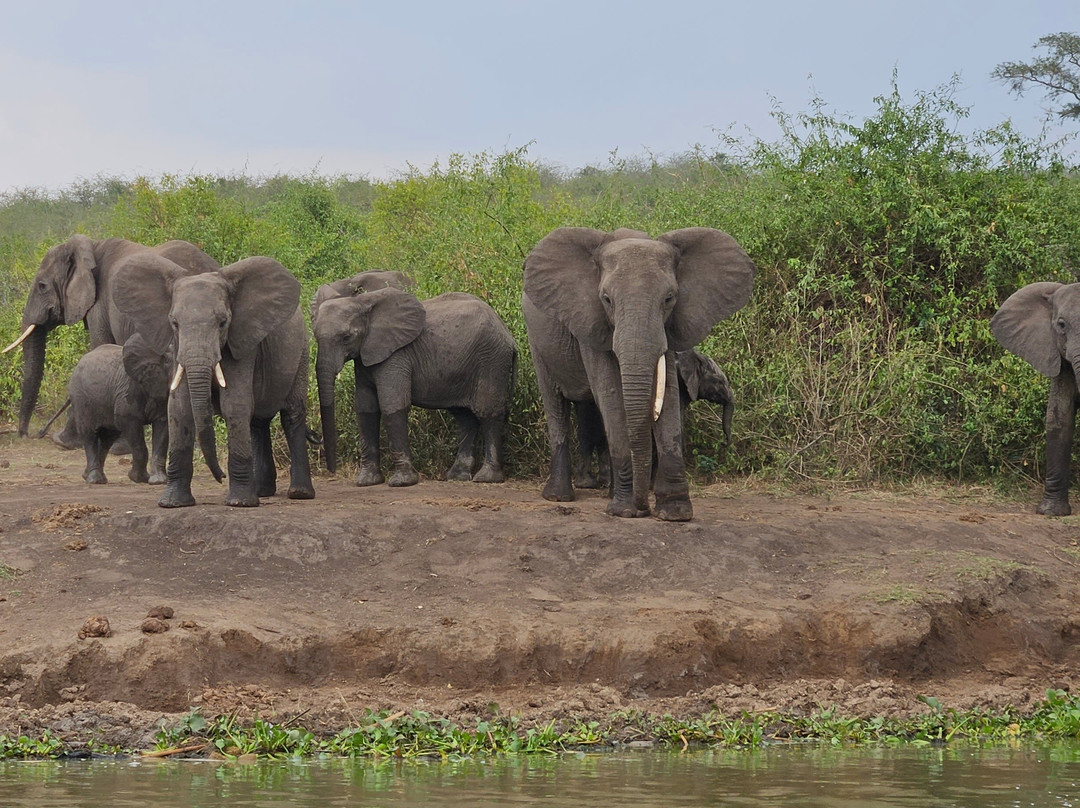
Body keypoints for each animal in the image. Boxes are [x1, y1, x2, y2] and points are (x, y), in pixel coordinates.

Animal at [2, 235, 220, 442]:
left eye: (42, 286)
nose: (29, 434)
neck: (91, 247)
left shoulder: (99, 304)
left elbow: (99, 347)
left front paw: (64, 441)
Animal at [67, 335, 174, 485]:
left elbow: (162, 427)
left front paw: (158, 481)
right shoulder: (129, 390)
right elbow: (129, 423)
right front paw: (138, 478)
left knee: (108, 437)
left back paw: (92, 476)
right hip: (80, 397)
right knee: (89, 433)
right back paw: (94, 480)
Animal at [113, 254, 316, 508]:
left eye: (222, 323)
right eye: (174, 323)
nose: (221, 477)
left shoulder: (242, 341)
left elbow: (234, 405)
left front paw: (239, 503)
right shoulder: (177, 348)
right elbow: (179, 408)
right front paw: (172, 503)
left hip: (302, 352)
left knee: (291, 413)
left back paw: (299, 493)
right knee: (257, 422)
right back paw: (261, 492)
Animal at [312, 286, 517, 486]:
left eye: (347, 338)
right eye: (315, 337)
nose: (331, 471)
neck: (362, 302)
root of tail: (508, 335)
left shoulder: (396, 354)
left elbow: (392, 406)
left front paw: (402, 482)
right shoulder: (364, 358)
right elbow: (365, 409)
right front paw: (367, 481)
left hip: (491, 359)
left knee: (488, 413)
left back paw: (487, 478)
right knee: (465, 418)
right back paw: (457, 476)